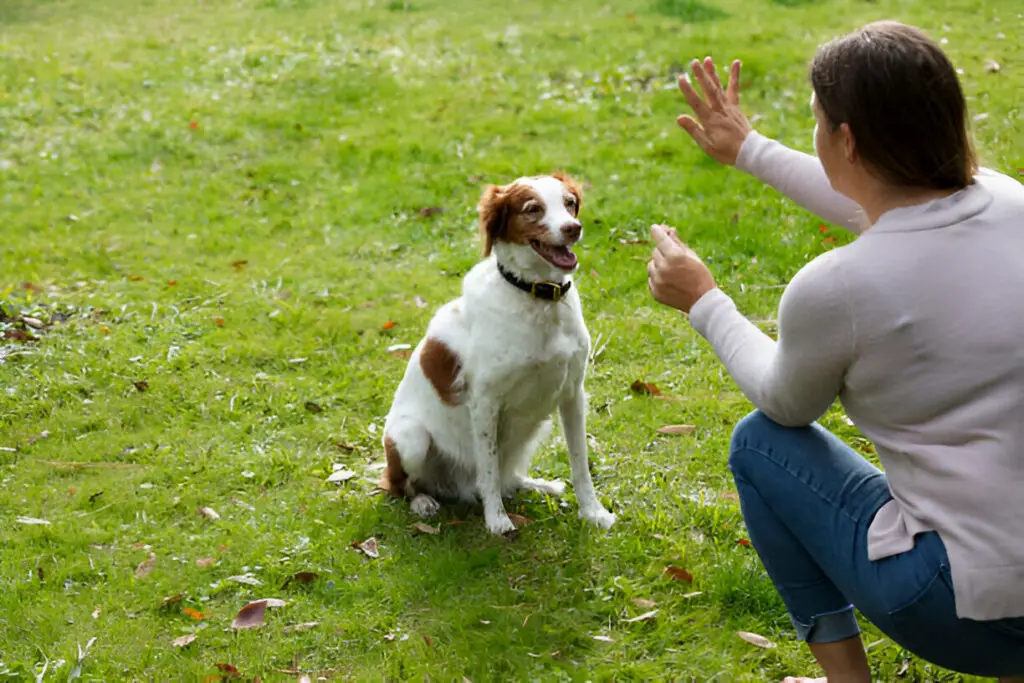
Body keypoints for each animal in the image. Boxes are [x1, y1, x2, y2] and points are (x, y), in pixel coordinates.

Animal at [378, 174, 610, 536]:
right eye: (532, 209)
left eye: (569, 203)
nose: (573, 228)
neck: (537, 298)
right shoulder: (485, 402)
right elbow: (487, 467)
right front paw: (497, 520)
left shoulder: (573, 394)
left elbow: (580, 463)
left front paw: (593, 512)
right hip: (410, 437)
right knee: (399, 485)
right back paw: (423, 502)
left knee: (508, 475)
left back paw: (537, 484)